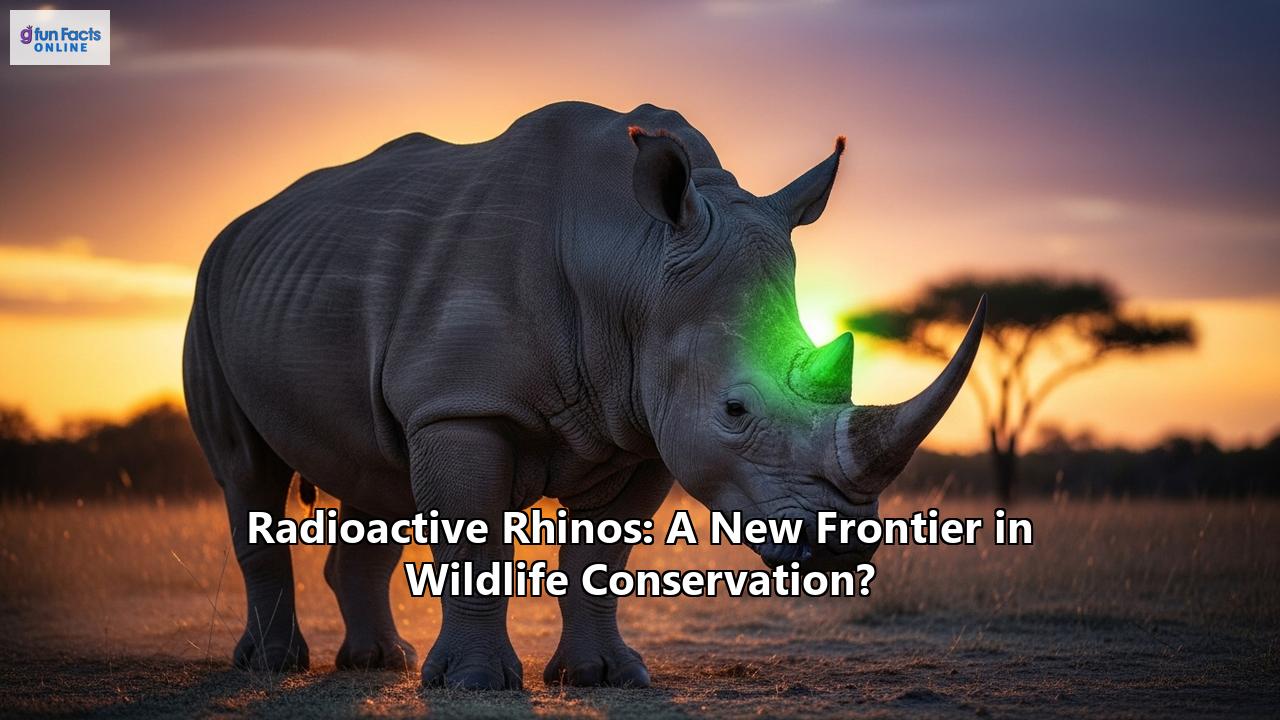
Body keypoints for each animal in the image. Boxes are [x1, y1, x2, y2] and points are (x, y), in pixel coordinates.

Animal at [183, 101, 984, 690]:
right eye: (735, 411)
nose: (843, 545)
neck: (634, 259)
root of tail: (243, 224)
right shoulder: (464, 403)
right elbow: (472, 536)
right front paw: (475, 684)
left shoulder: (644, 420)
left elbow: (601, 555)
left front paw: (603, 676)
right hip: (210, 288)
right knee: (246, 470)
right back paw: (272, 666)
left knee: (373, 476)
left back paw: (378, 664)